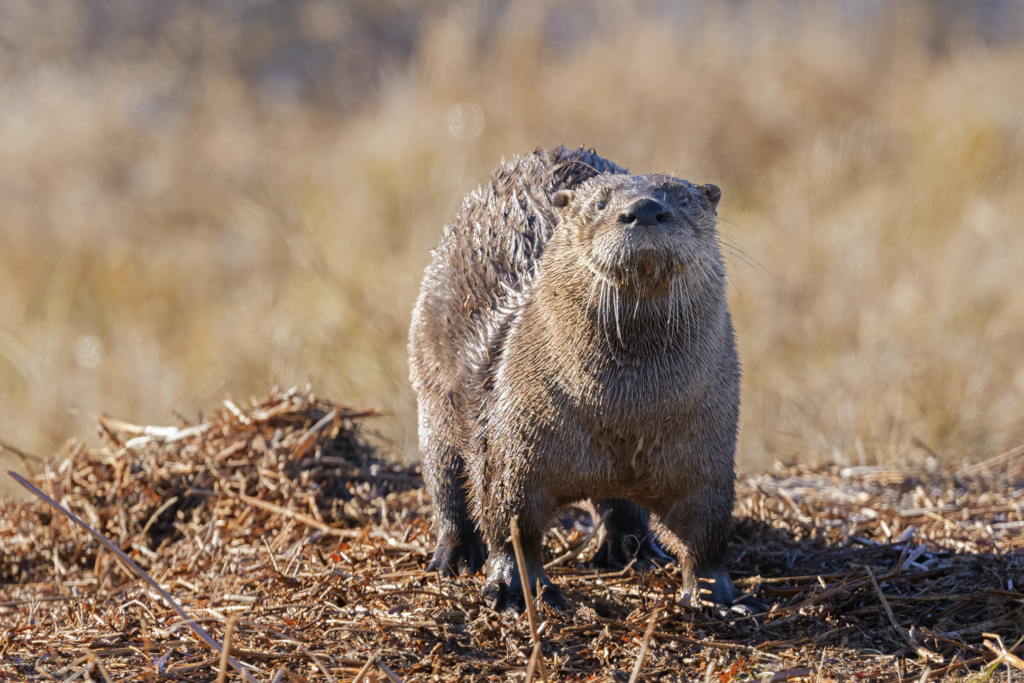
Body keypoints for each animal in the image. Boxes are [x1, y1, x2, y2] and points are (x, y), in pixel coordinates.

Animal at [409, 147, 761, 610]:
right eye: (599, 203)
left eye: (683, 198)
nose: (644, 210)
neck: (626, 410)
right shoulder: (512, 441)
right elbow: (510, 518)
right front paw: (512, 588)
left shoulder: (708, 452)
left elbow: (705, 531)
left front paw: (717, 592)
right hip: (431, 387)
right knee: (446, 479)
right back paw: (454, 556)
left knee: (621, 507)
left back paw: (633, 550)